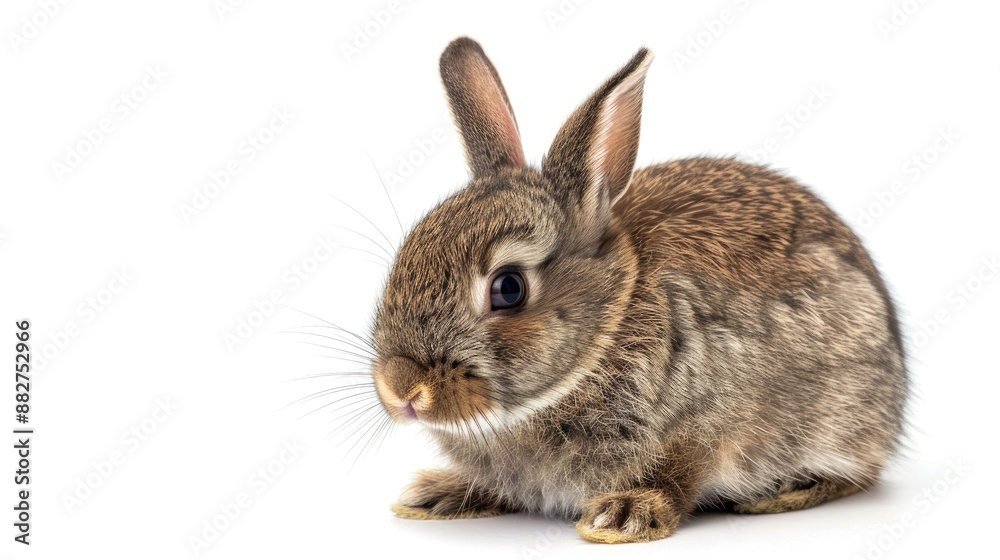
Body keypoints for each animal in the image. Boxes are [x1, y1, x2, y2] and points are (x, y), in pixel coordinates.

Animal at [368, 37, 908, 543]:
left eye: (508, 288)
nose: (401, 388)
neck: (610, 323)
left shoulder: (706, 424)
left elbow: (678, 471)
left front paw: (623, 516)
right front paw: (437, 495)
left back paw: (785, 491)